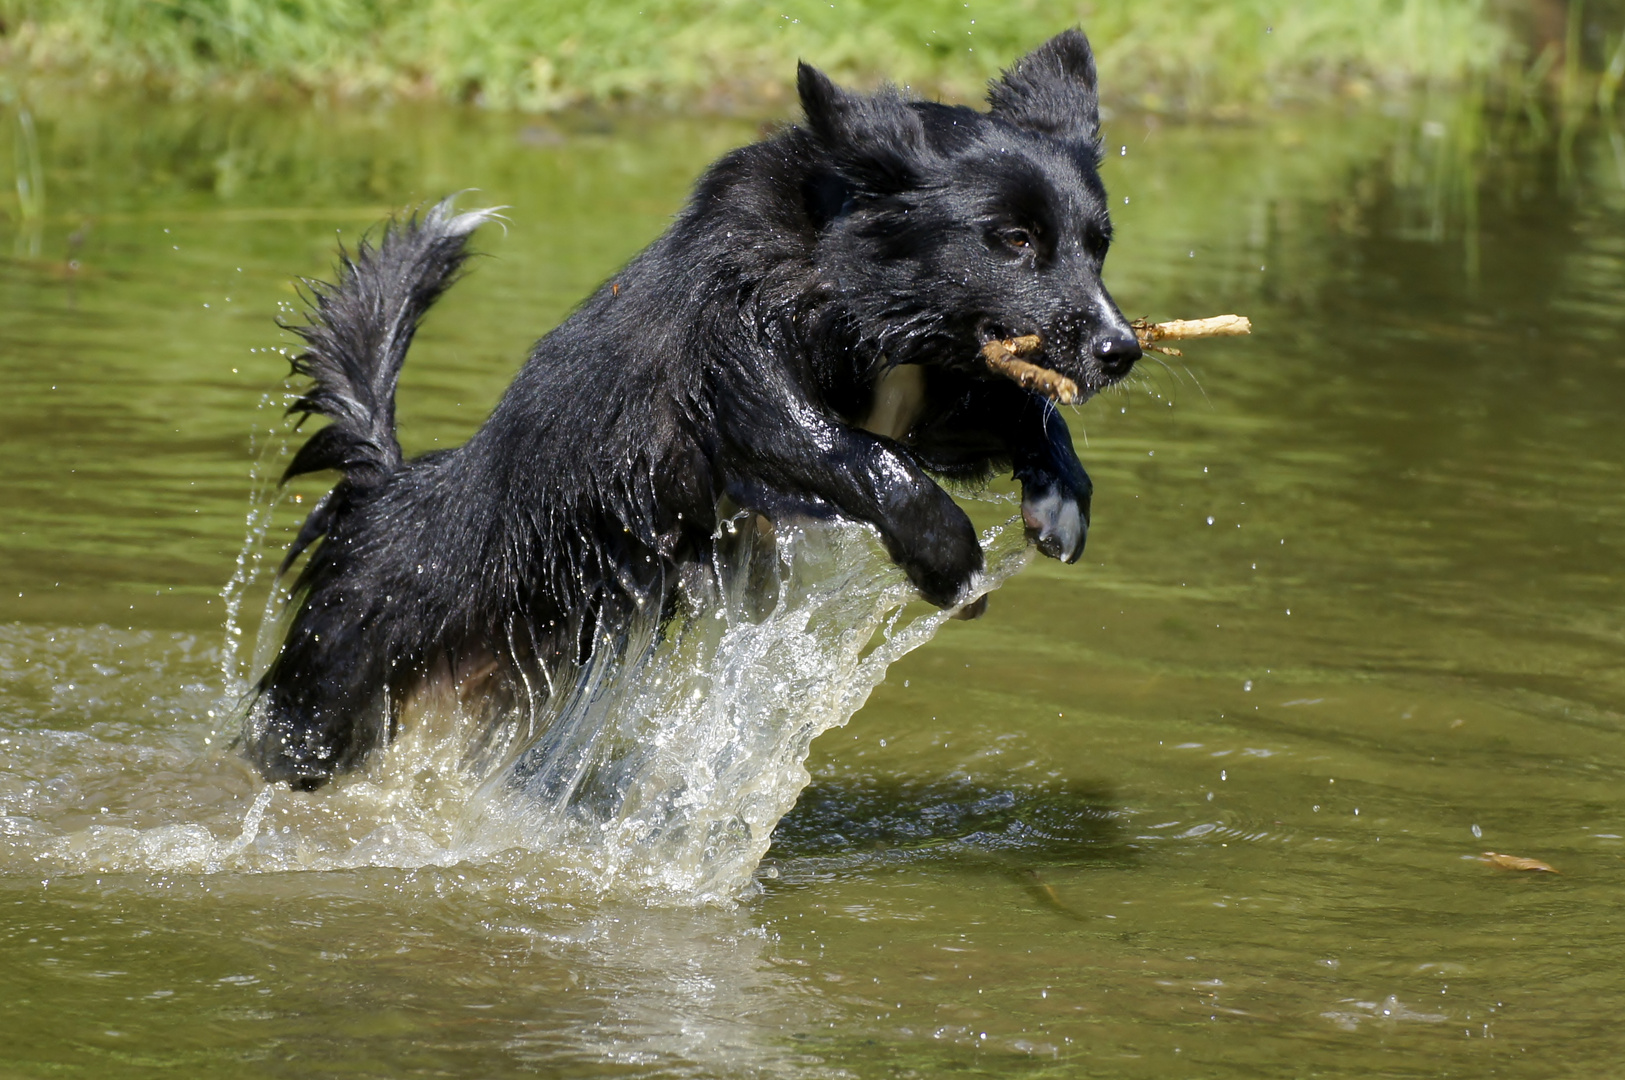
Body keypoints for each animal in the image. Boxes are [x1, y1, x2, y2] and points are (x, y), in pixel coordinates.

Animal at [250, 29, 1144, 789]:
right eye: (1014, 239)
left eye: (1098, 244)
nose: (1121, 350)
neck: (852, 278)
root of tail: (383, 487)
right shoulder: (731, 389)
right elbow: (855, 454)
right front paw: (949, 557)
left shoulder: (935, 400)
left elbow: (1020, 414)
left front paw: (1060, 496)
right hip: (328, 692)